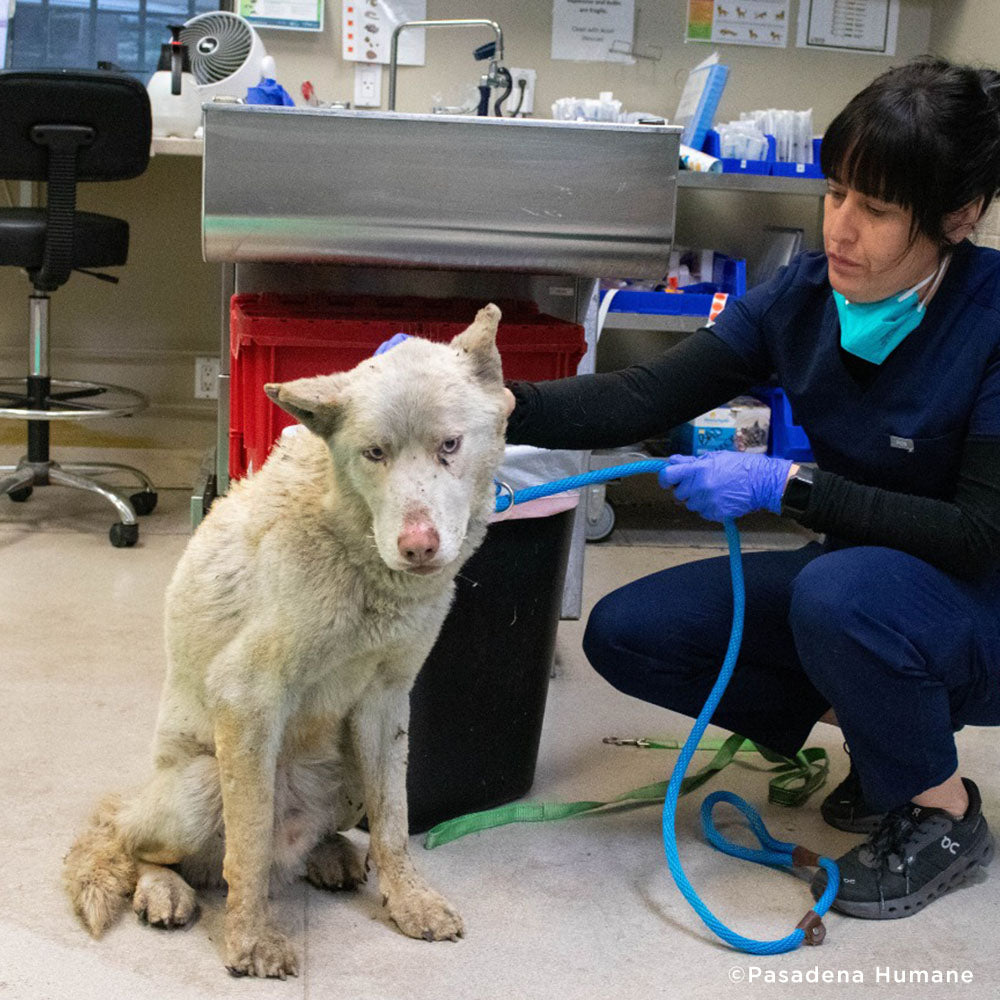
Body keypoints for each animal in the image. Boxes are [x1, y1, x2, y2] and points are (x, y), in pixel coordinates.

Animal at [62, 302, 508, 976]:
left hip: (347, 772)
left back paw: (330, 855)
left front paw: (410, 903)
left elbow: (395, 823)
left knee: (333, 831)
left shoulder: (386, 704)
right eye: (374, 453)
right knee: (139, 844)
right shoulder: (246, 698)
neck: (351, 546)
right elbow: (246, 850)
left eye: (449, 446)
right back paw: (164, 889)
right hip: (199, 785)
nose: (418, 547)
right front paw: (249, 942)